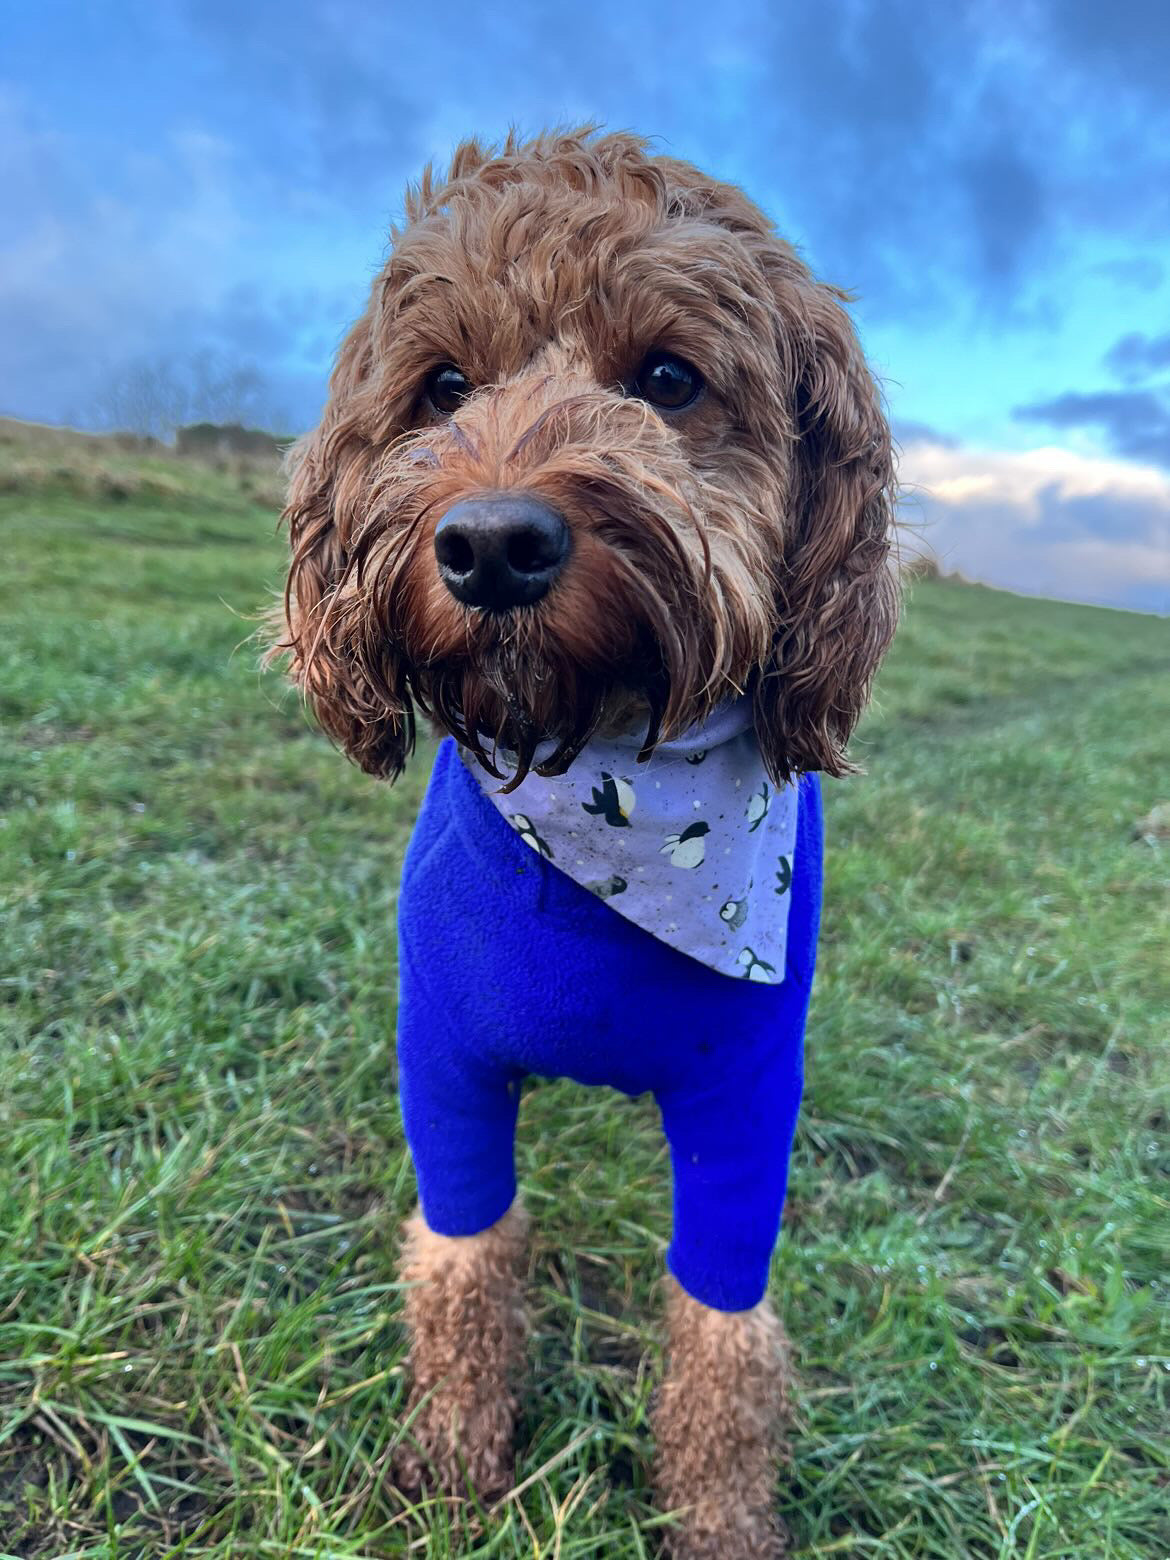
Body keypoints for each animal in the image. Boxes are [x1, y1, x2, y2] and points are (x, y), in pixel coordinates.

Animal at [273, 124, 898, 1560]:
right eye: (444, 386)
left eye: (667, 379)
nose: (492, 544)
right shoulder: (446, 1064)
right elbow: (464, 1263)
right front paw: (455, 1455)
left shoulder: (744, 1105)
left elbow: (725, 1338)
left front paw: (721, 1520)